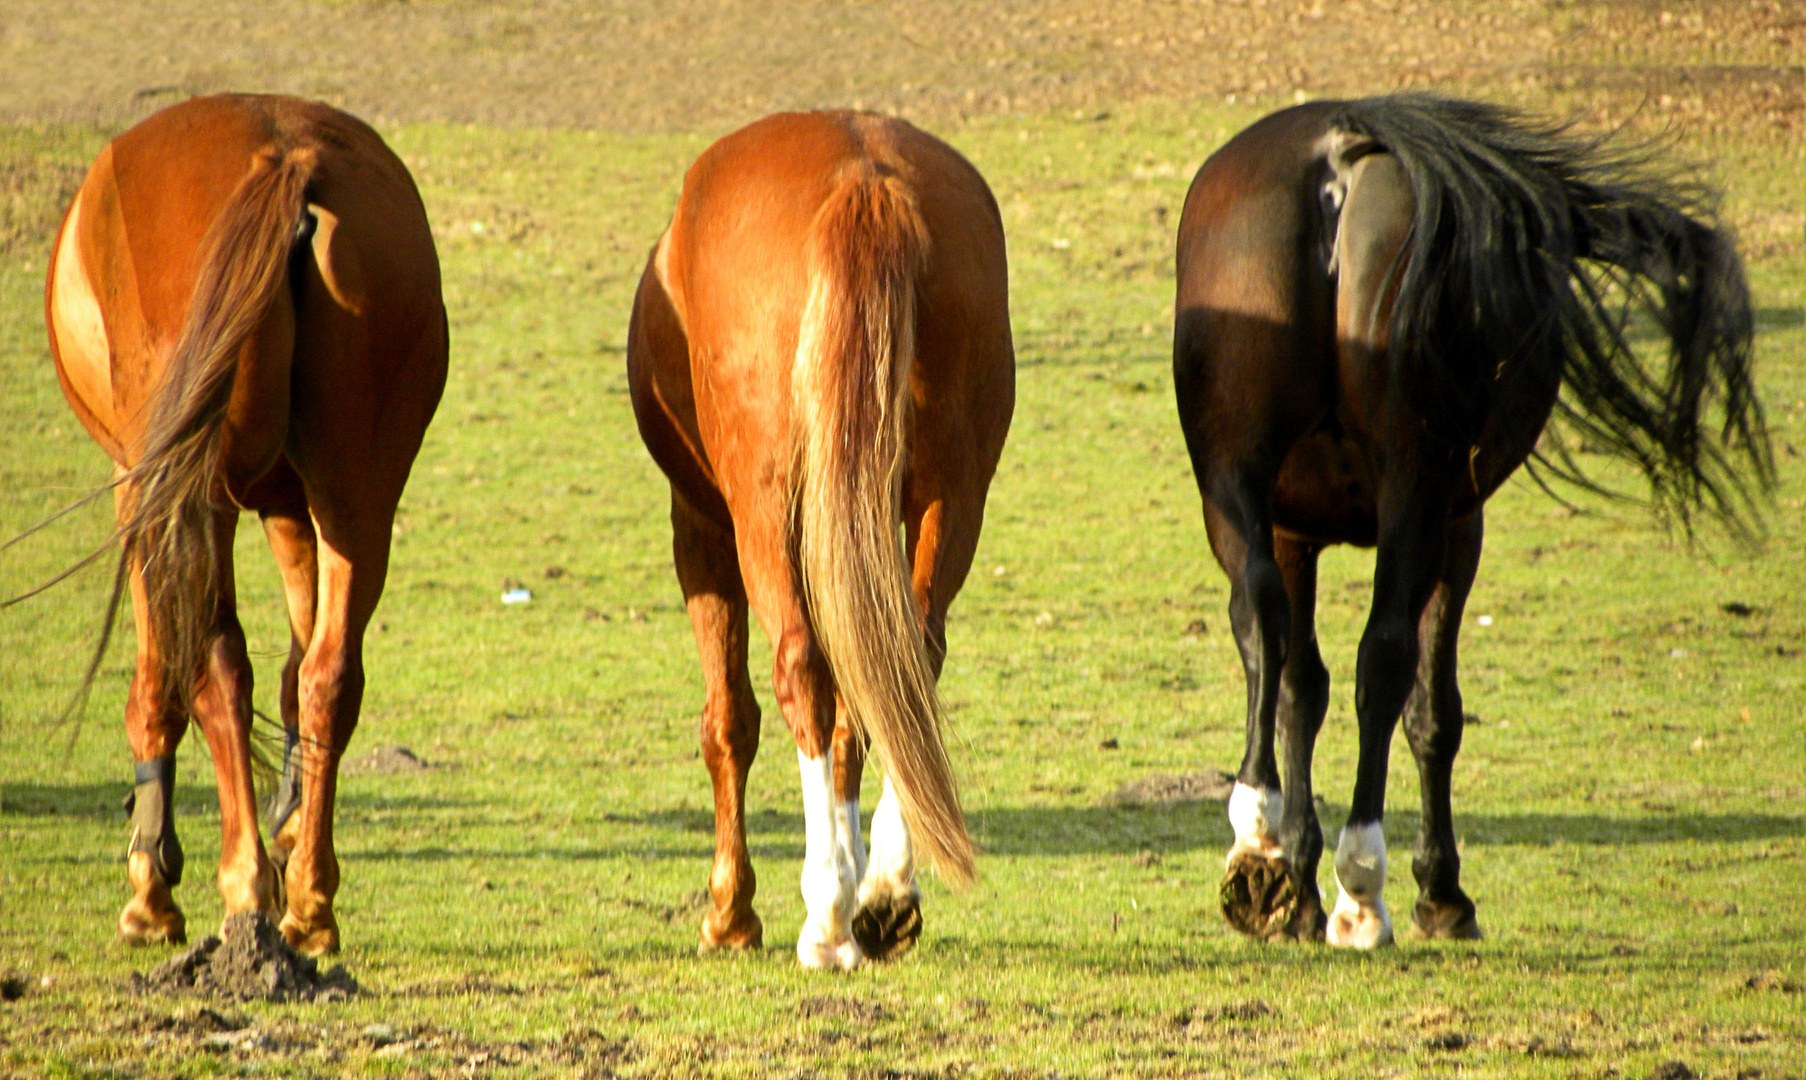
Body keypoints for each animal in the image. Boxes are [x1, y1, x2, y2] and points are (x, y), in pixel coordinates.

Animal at [45, 93, 447, 953]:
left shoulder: (143, 491)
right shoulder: (294, 506)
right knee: (330, 674)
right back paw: (311, 904)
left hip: (193, 496)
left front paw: (152, 886)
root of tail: (285, 159)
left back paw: (245, 884)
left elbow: (160, 680)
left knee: (217, 664)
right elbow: (300, 674)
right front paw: (293, 830)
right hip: (357, 497)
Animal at [628, 110, 1011, 975]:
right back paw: (887, 888)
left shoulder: (701, 529)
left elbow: (728, 721)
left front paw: (731, 913)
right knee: (912, 657)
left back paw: (829, 913)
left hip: (762, 512)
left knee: (801, 669)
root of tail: (863, 179)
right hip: (951, 495)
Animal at [1170, 97, 1762, 953]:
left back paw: (1258, 847)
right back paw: (1364, 884)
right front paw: (1438, 891)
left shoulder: (1288, 531)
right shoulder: (1459, 527)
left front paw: (1296, 881)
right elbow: (1431, 713)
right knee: (1384, 659)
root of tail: (1338, 159)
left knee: (1259, 620)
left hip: (1234, 480)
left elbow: (1296, 689)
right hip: (1418, 500)